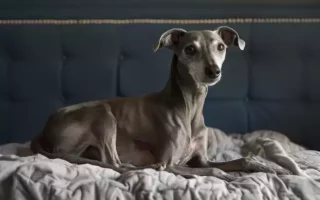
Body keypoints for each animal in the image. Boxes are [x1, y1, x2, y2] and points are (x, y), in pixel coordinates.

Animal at [31, 26, 288, 178]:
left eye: (221, 47)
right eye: (190, 49)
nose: (213, 71)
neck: (189, 106)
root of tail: (43, 131)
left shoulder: (201, 159)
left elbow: (243, 159)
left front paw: (270, 167)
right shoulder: (173, 161)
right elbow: (214, 169)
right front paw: (228, 177)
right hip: (103, 114)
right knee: (115, 163)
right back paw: (148, 167)